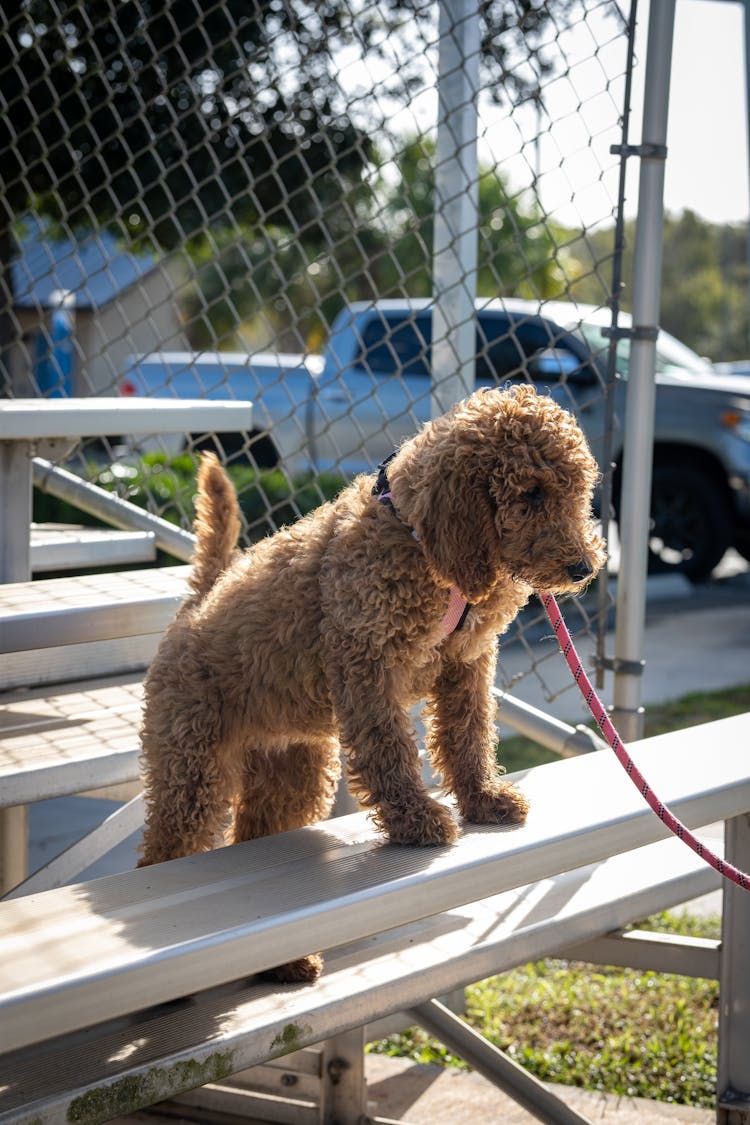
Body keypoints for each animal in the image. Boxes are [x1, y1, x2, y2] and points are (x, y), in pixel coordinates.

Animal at [137, 384, 607, 976]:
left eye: (578, 490)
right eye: (531, 492)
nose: (584, 567)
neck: (413, 533)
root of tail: (195, 607)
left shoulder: (466, 664)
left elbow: (469, 734)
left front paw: (483, 799)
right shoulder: (368, 666)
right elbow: (389, 750)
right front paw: (416, 821)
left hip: (293, 772)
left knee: (255, 830)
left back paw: (285, 965)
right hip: (192, 766)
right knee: (164, 850)